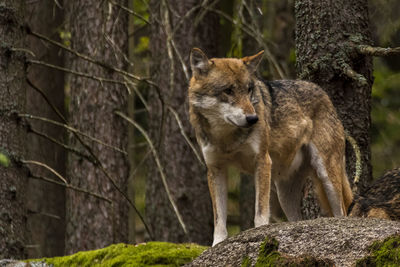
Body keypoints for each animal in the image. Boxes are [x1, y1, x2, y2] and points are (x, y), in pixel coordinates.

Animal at [188, 48, 354, 247]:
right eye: (228, 90)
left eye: (249, 89)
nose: (253, 118)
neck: (226, 137)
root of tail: (324, 94)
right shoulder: (215, 170)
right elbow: (219, 218)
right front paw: (216, 245)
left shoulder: (262, 161)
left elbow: (260, 211)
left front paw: (260, 235)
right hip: (284, 193)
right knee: (297, 221)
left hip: (327, 176)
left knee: (341, 212)